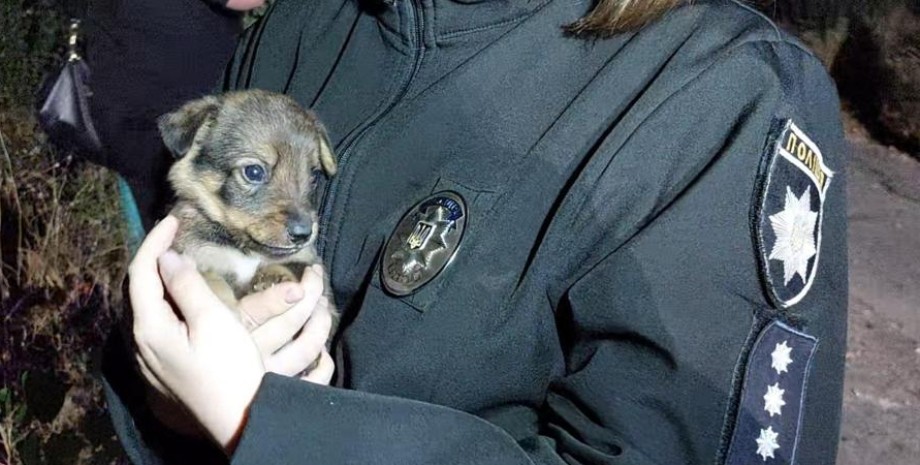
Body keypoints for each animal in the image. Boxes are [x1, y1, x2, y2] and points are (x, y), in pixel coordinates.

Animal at [159, 89, 338, 316]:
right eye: (254, 172)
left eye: (314, 176)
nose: (303, 234)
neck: (246, 249)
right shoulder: (195, 256)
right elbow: (212, 282)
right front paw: (229, 312)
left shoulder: (310, 264)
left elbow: (293, 267)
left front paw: (274, 278)